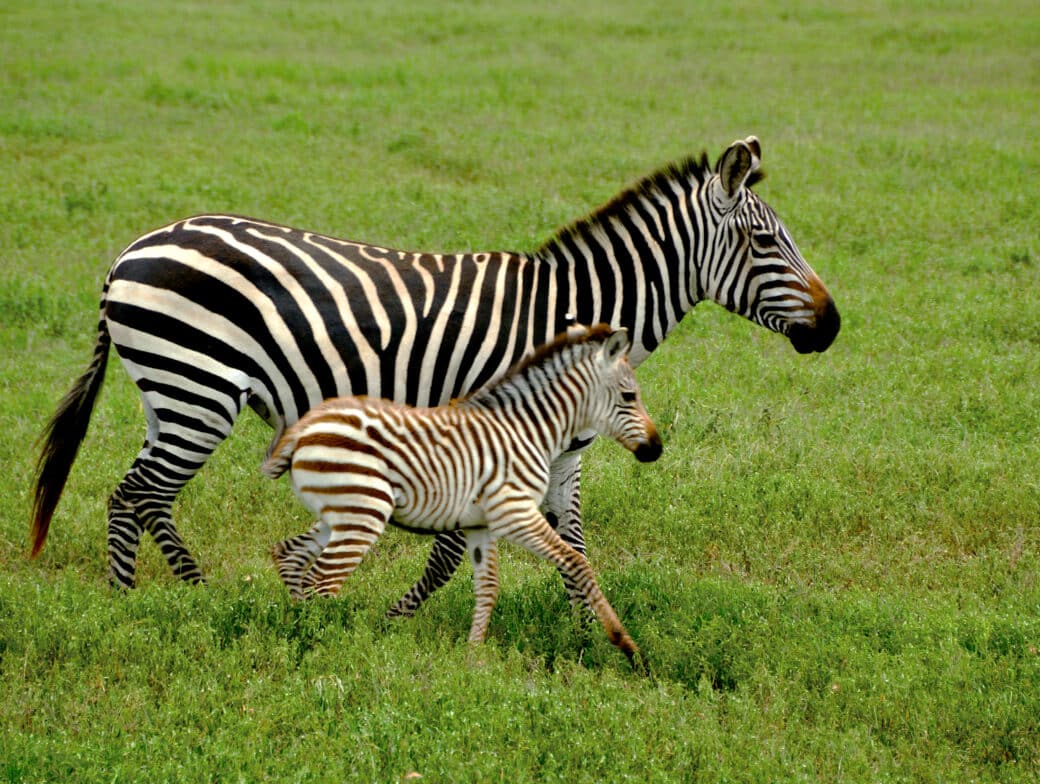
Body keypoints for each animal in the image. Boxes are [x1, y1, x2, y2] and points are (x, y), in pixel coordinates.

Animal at [30, 135, 840, 598]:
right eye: (766, 242)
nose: (832, 327)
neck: (572, 316)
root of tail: (132, 249)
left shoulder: (564, 453)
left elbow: (574, 544)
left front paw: (592, 638)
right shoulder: (491, 431)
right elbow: (454, 547)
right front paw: (399, 617)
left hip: (172, 395)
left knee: (146, 497)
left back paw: (187, 593)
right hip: (197, 390)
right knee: (132, 496)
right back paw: (137, 603)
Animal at [261, 324, 660, 663]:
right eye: (629, 396)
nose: (656, 449)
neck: (529, 429)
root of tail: (302, 429)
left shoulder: (481, 523)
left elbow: (488, 586)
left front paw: (473, 657)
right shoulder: (515, 513)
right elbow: (576, 561)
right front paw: (627, 646)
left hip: (344, 510)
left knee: (290, 555)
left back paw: (301, 630)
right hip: (363, 513)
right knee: (323, 580)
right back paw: (331, 646)